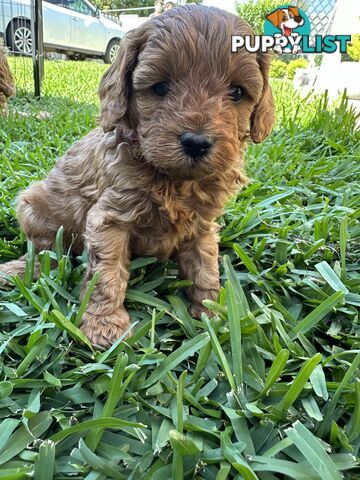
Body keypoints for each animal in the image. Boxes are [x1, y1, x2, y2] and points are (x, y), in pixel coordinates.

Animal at [0, 5, 276, 346]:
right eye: (160, 87)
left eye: (237, 92)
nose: (196, 142)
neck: (174, 180)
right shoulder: (109, 218)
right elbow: (106, 273)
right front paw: (105, 326)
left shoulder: (203, 224)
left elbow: (205, 264)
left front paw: (215, 315)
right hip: (33, 204)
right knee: (46, 249)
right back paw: (23, 269)